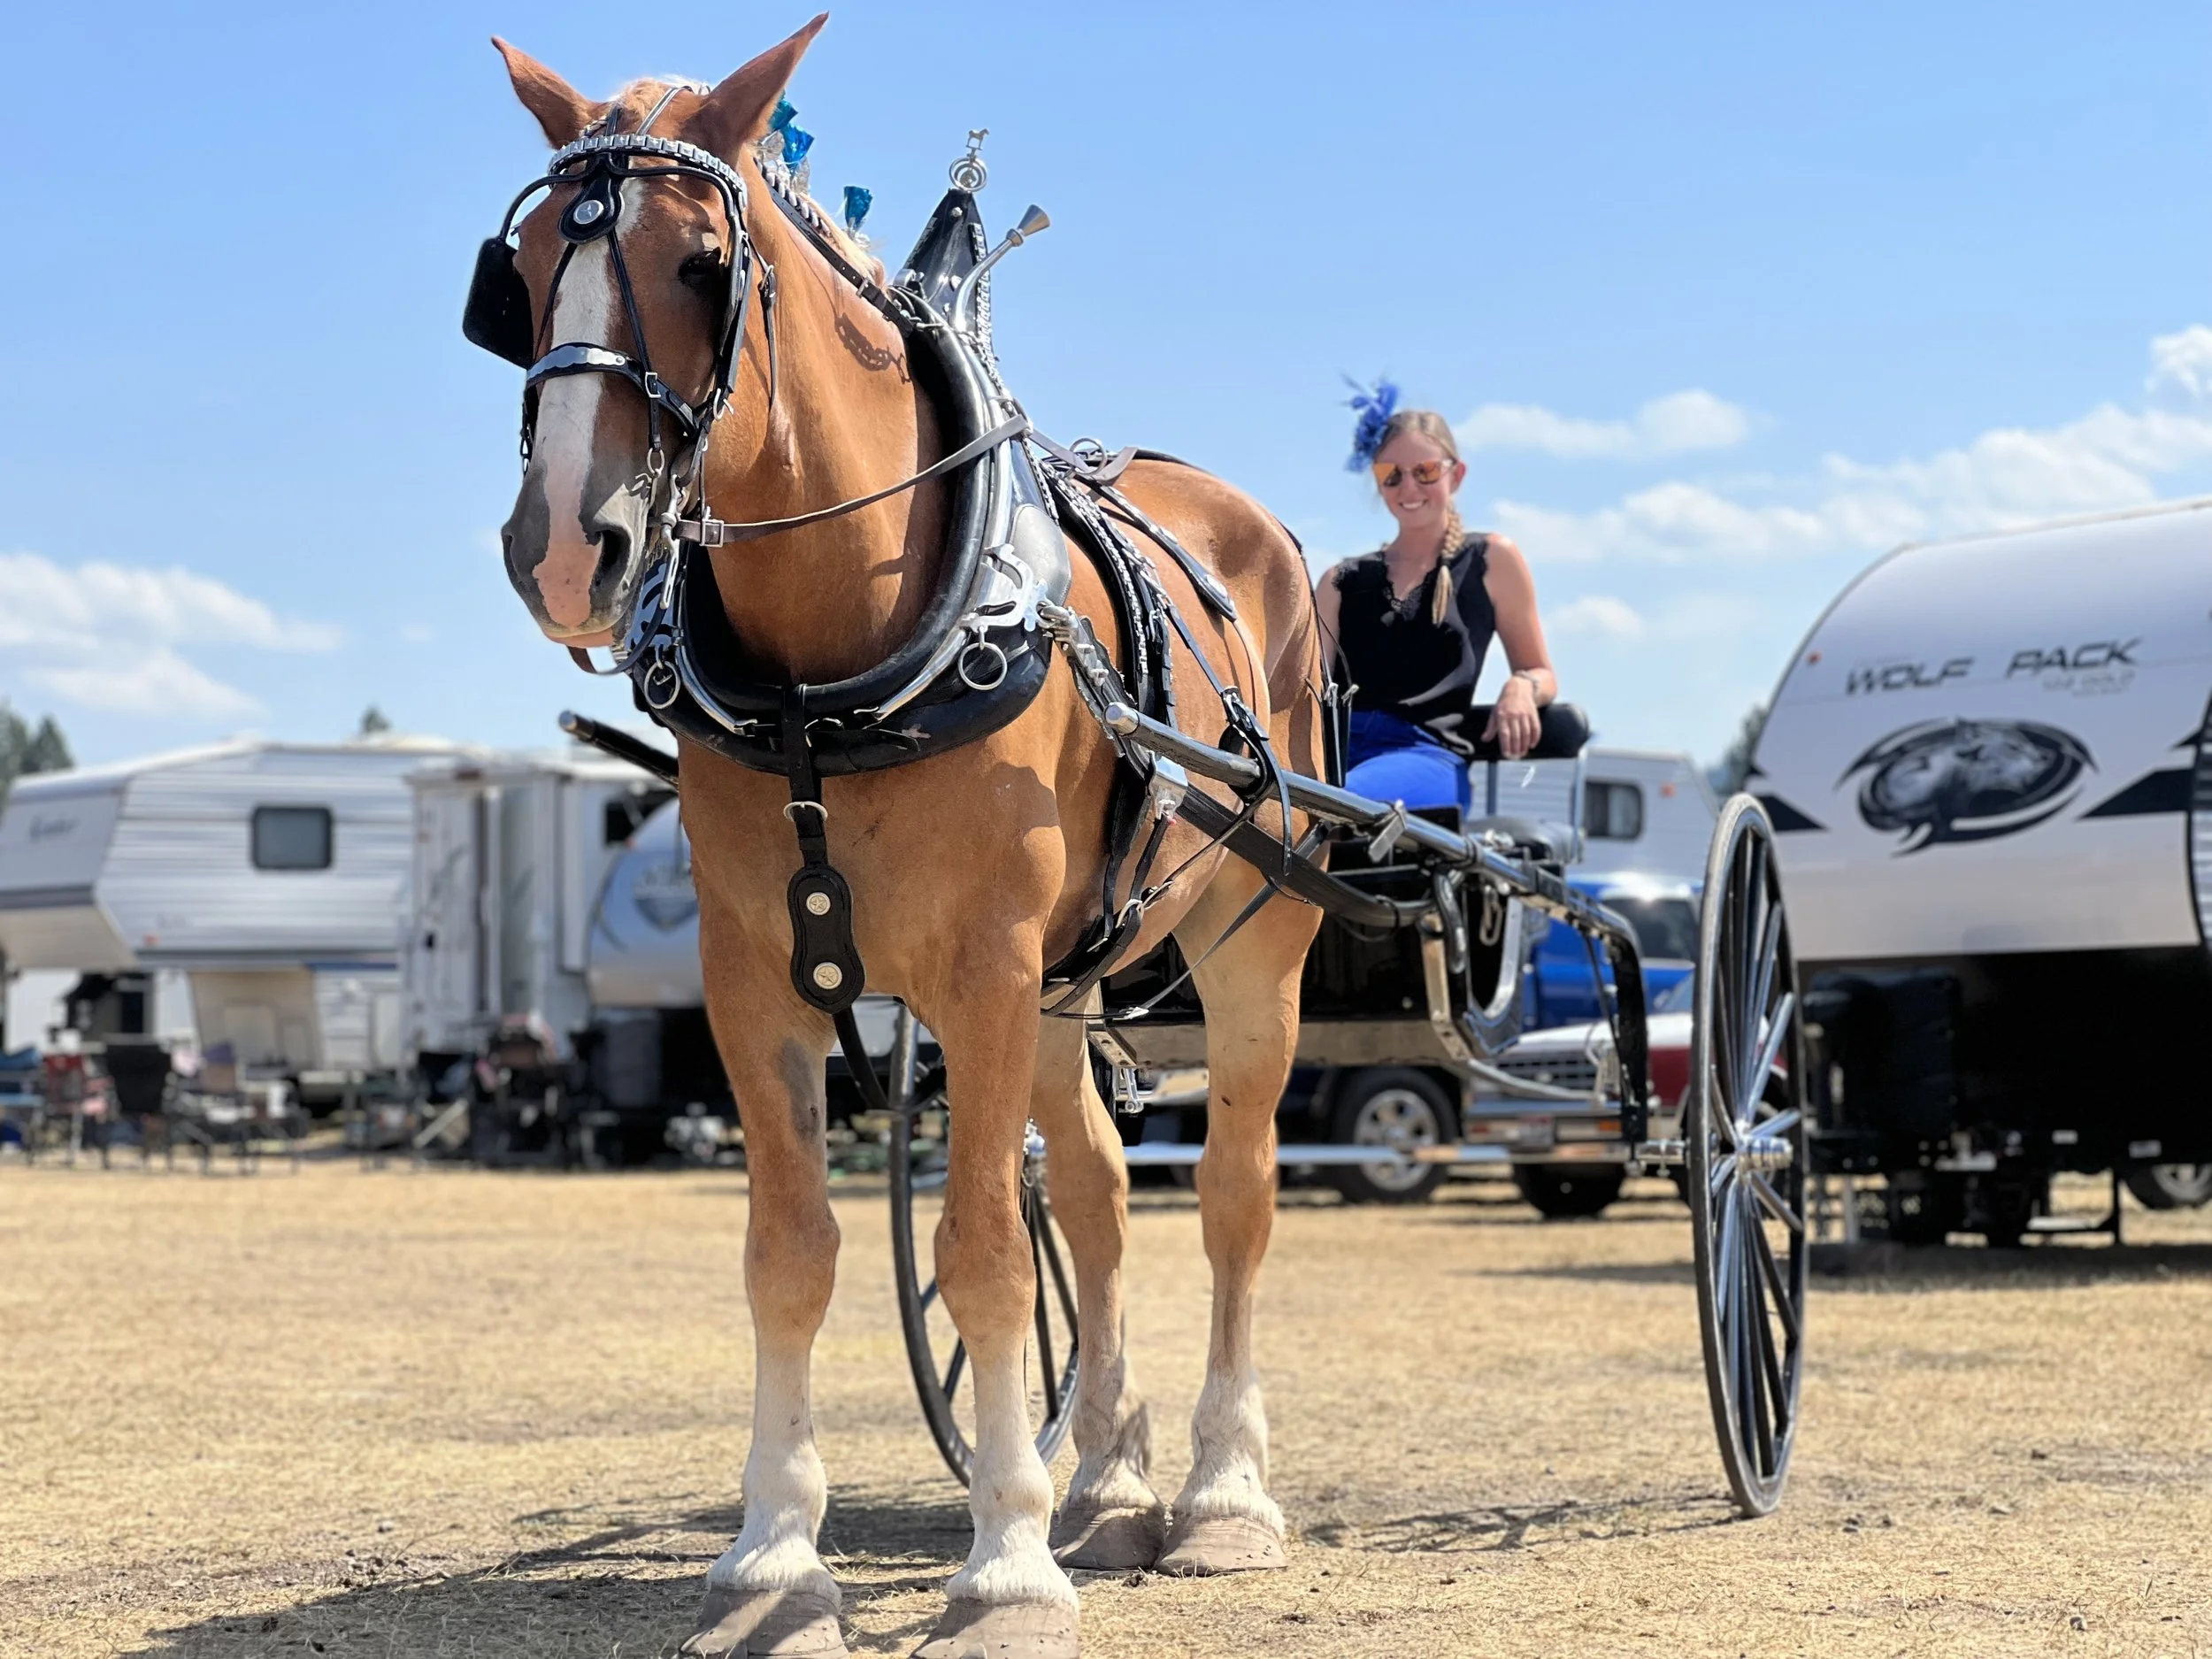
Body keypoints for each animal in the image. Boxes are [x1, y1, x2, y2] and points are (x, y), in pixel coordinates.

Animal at [480, 18, 1327, 1656]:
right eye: (527, 270)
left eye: (701, 266)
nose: (562, 548)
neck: (836, 661)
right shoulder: (754, 978)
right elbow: (792, 1253)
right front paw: (772, 1556)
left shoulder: (983, 968)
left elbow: (984, 1254)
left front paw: (1003, 1568)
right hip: (1069, 978)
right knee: (1100, 1195)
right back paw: (1110, 1483)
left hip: (1247, 938)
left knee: (1235, 1193)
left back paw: (1222, 1495)